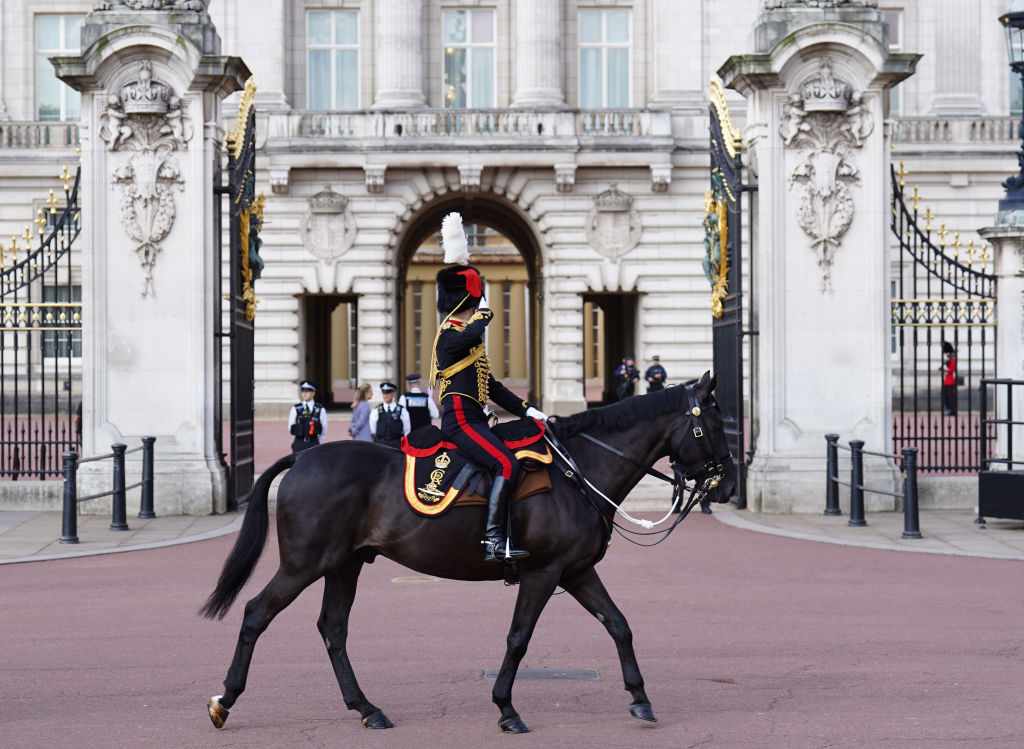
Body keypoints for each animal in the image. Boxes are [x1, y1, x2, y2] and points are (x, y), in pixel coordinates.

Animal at [201, 372, 737, 733]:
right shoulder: (544, 572)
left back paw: (367, 708)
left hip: (344, 565)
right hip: (304, 564)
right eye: (714, 423)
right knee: (256, 613)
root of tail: (304, 457)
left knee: (332, 629)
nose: (730, 485)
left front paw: (640, 697)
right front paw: (506, 707)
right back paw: (225, 700)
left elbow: (619, 625)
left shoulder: (576, 572)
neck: (578, 472)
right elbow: (519, 638)